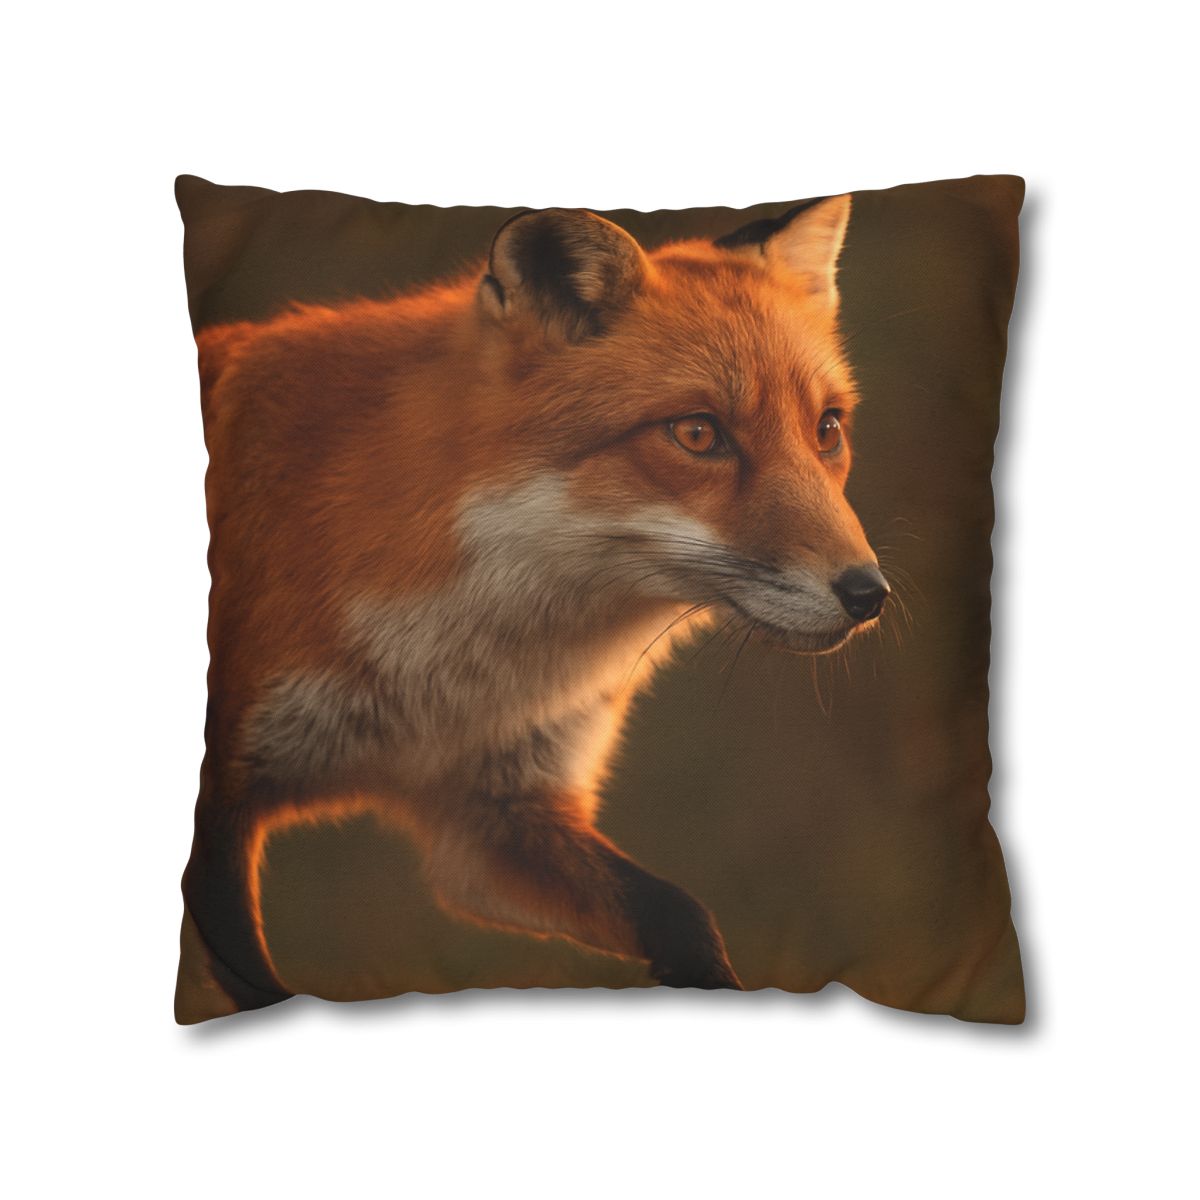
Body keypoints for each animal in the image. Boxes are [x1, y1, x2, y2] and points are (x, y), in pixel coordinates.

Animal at [180, 193, 890, 1019]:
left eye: (827, 429)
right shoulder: (222, 806)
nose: (868, 594)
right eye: (697, 433)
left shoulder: (494, 820)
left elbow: (679, 915)